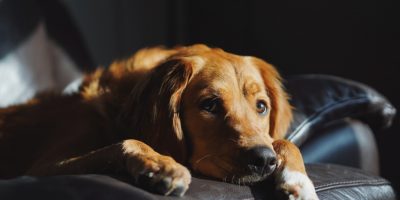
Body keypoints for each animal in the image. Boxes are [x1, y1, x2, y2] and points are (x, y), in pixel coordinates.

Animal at [0, 44, 318, 199]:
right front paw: (162, 165)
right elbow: (125, 142)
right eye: (210, 105)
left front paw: (299, 183)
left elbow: (284, 142)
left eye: (262, 107)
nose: (264, 161)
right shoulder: (44, 168)